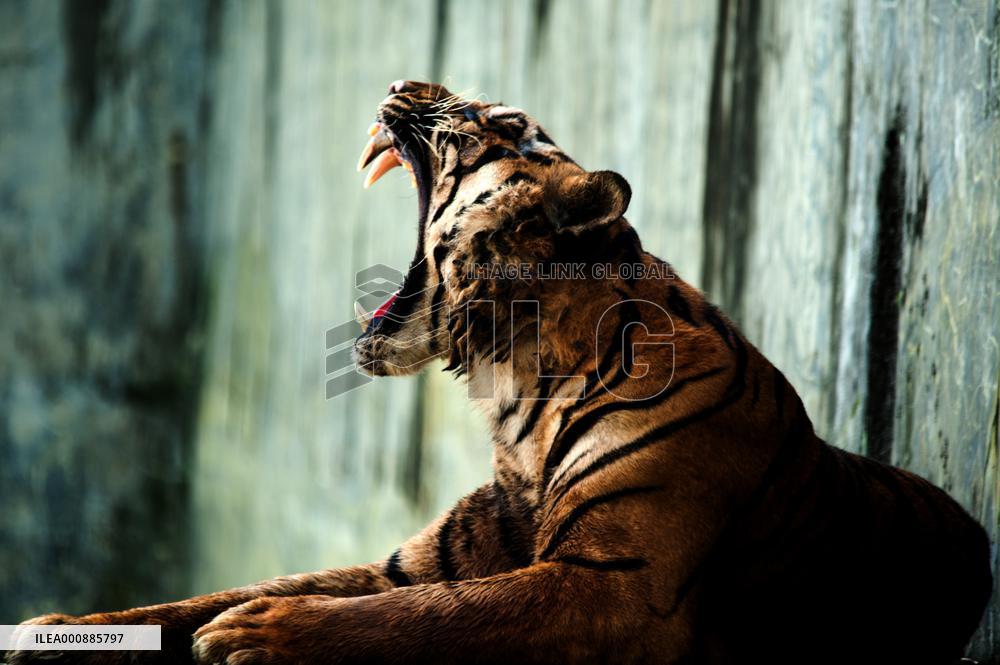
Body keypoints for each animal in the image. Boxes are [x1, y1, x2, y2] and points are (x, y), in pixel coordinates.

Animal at [7, 80, 991, 665]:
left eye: (503, 124)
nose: (404, 84)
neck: (517, 390)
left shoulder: (617, 583)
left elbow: (435, 615)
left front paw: (260, 634)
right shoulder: (419, 560)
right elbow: (230, 588)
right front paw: (62, 627)